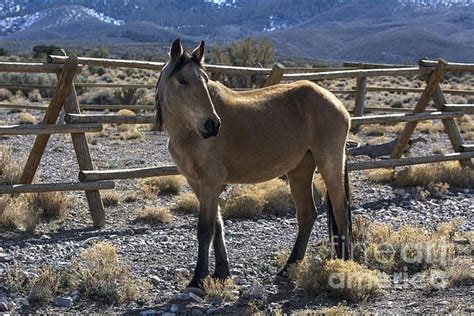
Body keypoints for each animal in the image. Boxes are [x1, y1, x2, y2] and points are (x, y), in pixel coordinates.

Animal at [156, 39, 352, 288]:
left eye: (205, 80)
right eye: (182, 80)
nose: (213, 124)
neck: (188, 131)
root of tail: (336, 102)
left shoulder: (210, 182)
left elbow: (205, 229)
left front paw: (198, 278)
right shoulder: (197, 183)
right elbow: (217, 226)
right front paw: (221, 272)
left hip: (329, 163)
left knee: (340, 209)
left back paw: (343, 265)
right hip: (300, 170)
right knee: (307, 214)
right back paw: (288, 268)